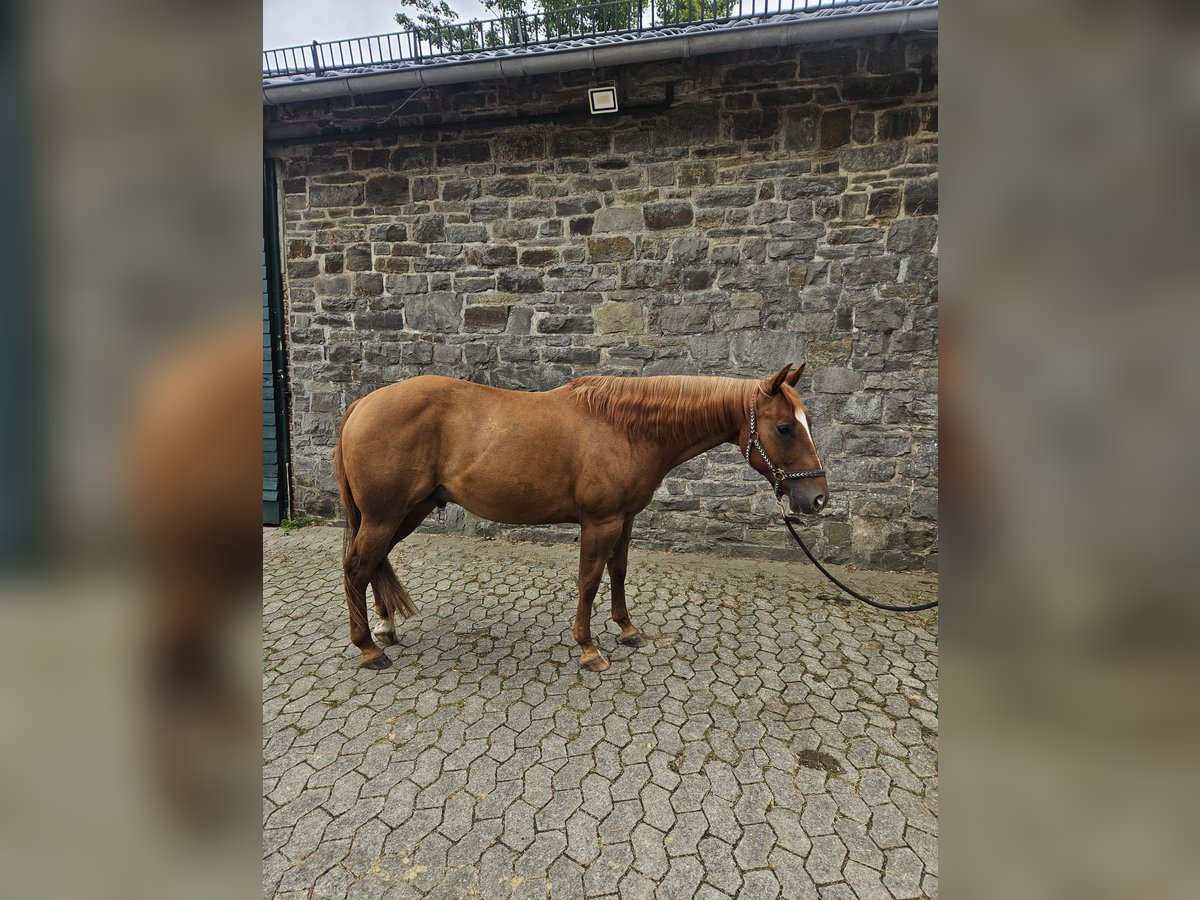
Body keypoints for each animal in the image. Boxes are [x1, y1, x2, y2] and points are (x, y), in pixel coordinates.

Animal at [333, 362, 829, 673]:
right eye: (785, 427)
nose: (818, 499)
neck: (624, 429)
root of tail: (361, 405)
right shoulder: (600, 522)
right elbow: (589, 580)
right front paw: (589, 649)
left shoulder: (625, 519)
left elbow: (618, 571)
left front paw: (628, 629)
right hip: (385, 515)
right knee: (356, 567)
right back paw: (368, 649)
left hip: (405, 512)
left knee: (375, 564)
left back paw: (385, 628)